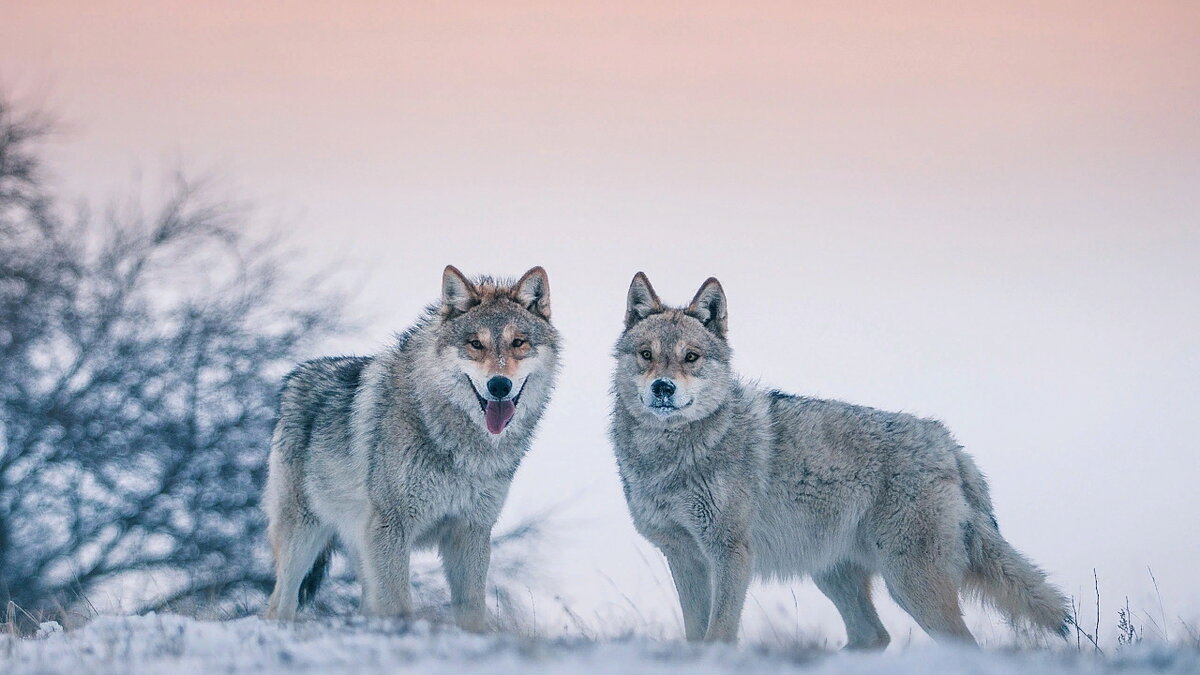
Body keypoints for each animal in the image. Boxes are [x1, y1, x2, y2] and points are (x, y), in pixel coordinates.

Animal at [265, 261, 559, 624]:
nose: (499, 385)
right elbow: (399, 606)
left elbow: (472, 610)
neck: (459, 445)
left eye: (518, 342)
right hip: (303, 538)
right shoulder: (392, 526)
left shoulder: (471, 531)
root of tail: (295, 377)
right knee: (279, 604)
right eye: (475, 344)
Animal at [609, 270, 1070, 643]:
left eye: (691, 357)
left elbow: (718, 634)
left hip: (910, 585)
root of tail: (949, 443)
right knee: (874, 636)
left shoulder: (730, 553)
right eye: (647, 355)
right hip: (835, 576)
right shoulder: (683, 557)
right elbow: (694, 634)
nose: (664, 388)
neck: (668, 456)